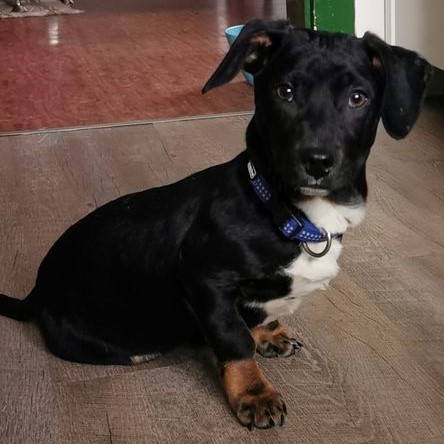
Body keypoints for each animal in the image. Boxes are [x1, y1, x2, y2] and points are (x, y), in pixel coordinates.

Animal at [0, 19, 432, 429]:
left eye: (358, 98)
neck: (285, 211)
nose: (317, 161)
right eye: (285, 92)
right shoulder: (204, 279)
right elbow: (233, 339)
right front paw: (254, 394)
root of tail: (37, 292)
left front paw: (265, 332)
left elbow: (243, 322)